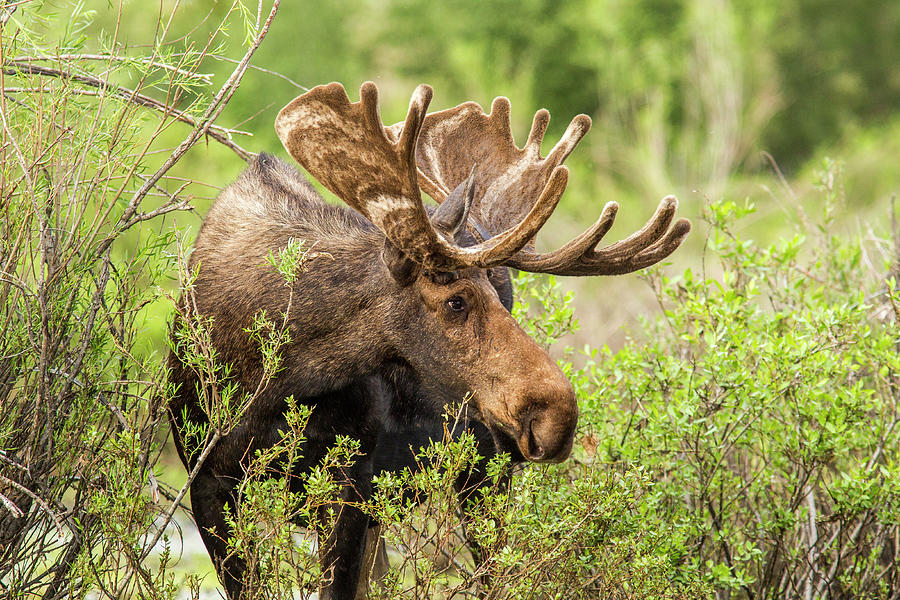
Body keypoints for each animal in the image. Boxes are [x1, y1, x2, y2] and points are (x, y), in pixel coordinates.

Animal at [167, 81, 688, 600]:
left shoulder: (352, 483)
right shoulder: (207, 483)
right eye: (456, 300)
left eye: (497, 291)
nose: (556, 417)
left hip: (483, 479)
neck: (276, 375)